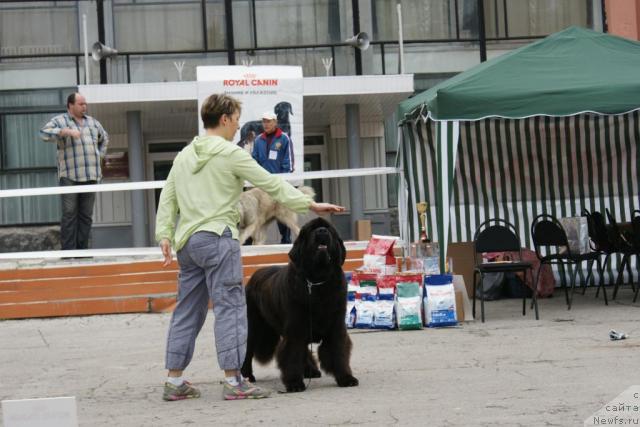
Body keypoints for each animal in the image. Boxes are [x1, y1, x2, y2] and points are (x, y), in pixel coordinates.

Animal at [241, 219, 358, 392]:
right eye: (311, 230)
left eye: (329, 228)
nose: (322, 231)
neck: (317, 282)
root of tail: (254, 276)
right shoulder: (295, 328)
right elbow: (292, 354)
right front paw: (294, 383)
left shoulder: (336, 326)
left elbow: (338, 351)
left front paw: (346, 378)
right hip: (254, 327)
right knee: (248, 350)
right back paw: (247, 376)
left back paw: (311, 370)